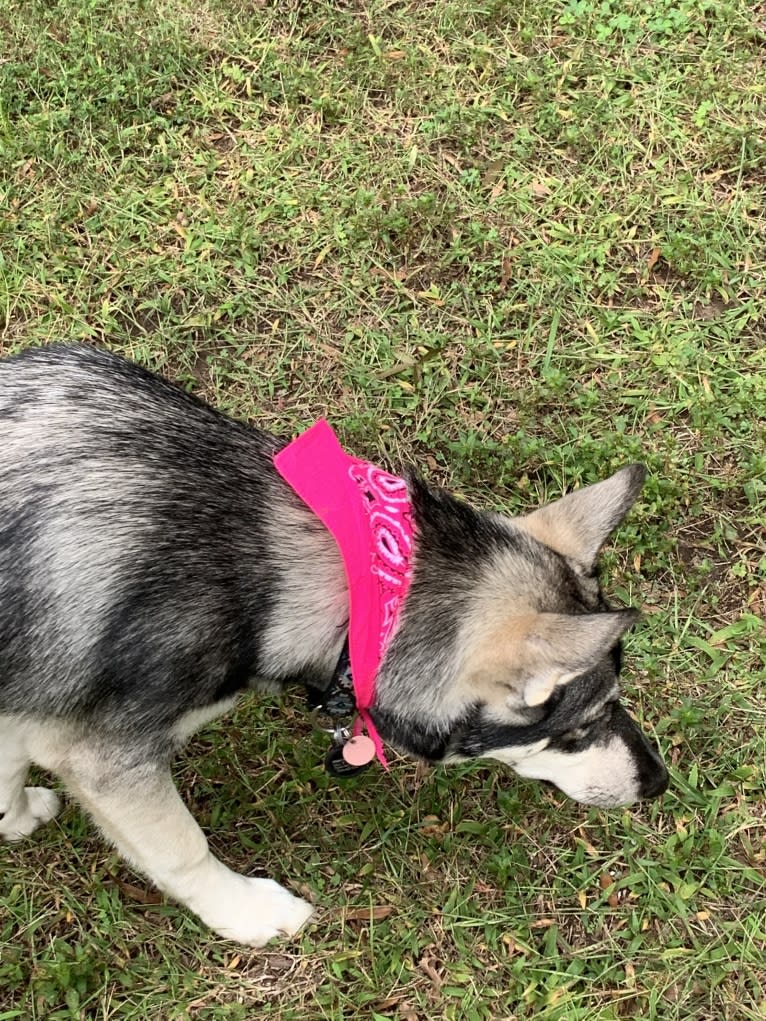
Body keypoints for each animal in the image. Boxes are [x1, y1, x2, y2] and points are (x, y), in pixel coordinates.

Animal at [0, 347, 669, 943]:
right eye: (581, 726)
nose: (660, 783)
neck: (356, 588)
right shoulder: (105, 758)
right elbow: (181, 850)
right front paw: (245, 913)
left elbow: (8, 767)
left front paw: (13, 818)